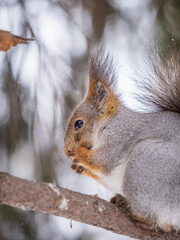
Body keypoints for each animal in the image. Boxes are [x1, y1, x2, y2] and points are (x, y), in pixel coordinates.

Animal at [63, 46, 180, 232]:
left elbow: (105, 161)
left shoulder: (119, 138)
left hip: (146, 163)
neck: (111, 122)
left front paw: (78, 154)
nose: (66, 151)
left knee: (150, 217)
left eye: (79, 123)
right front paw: (78, 167)